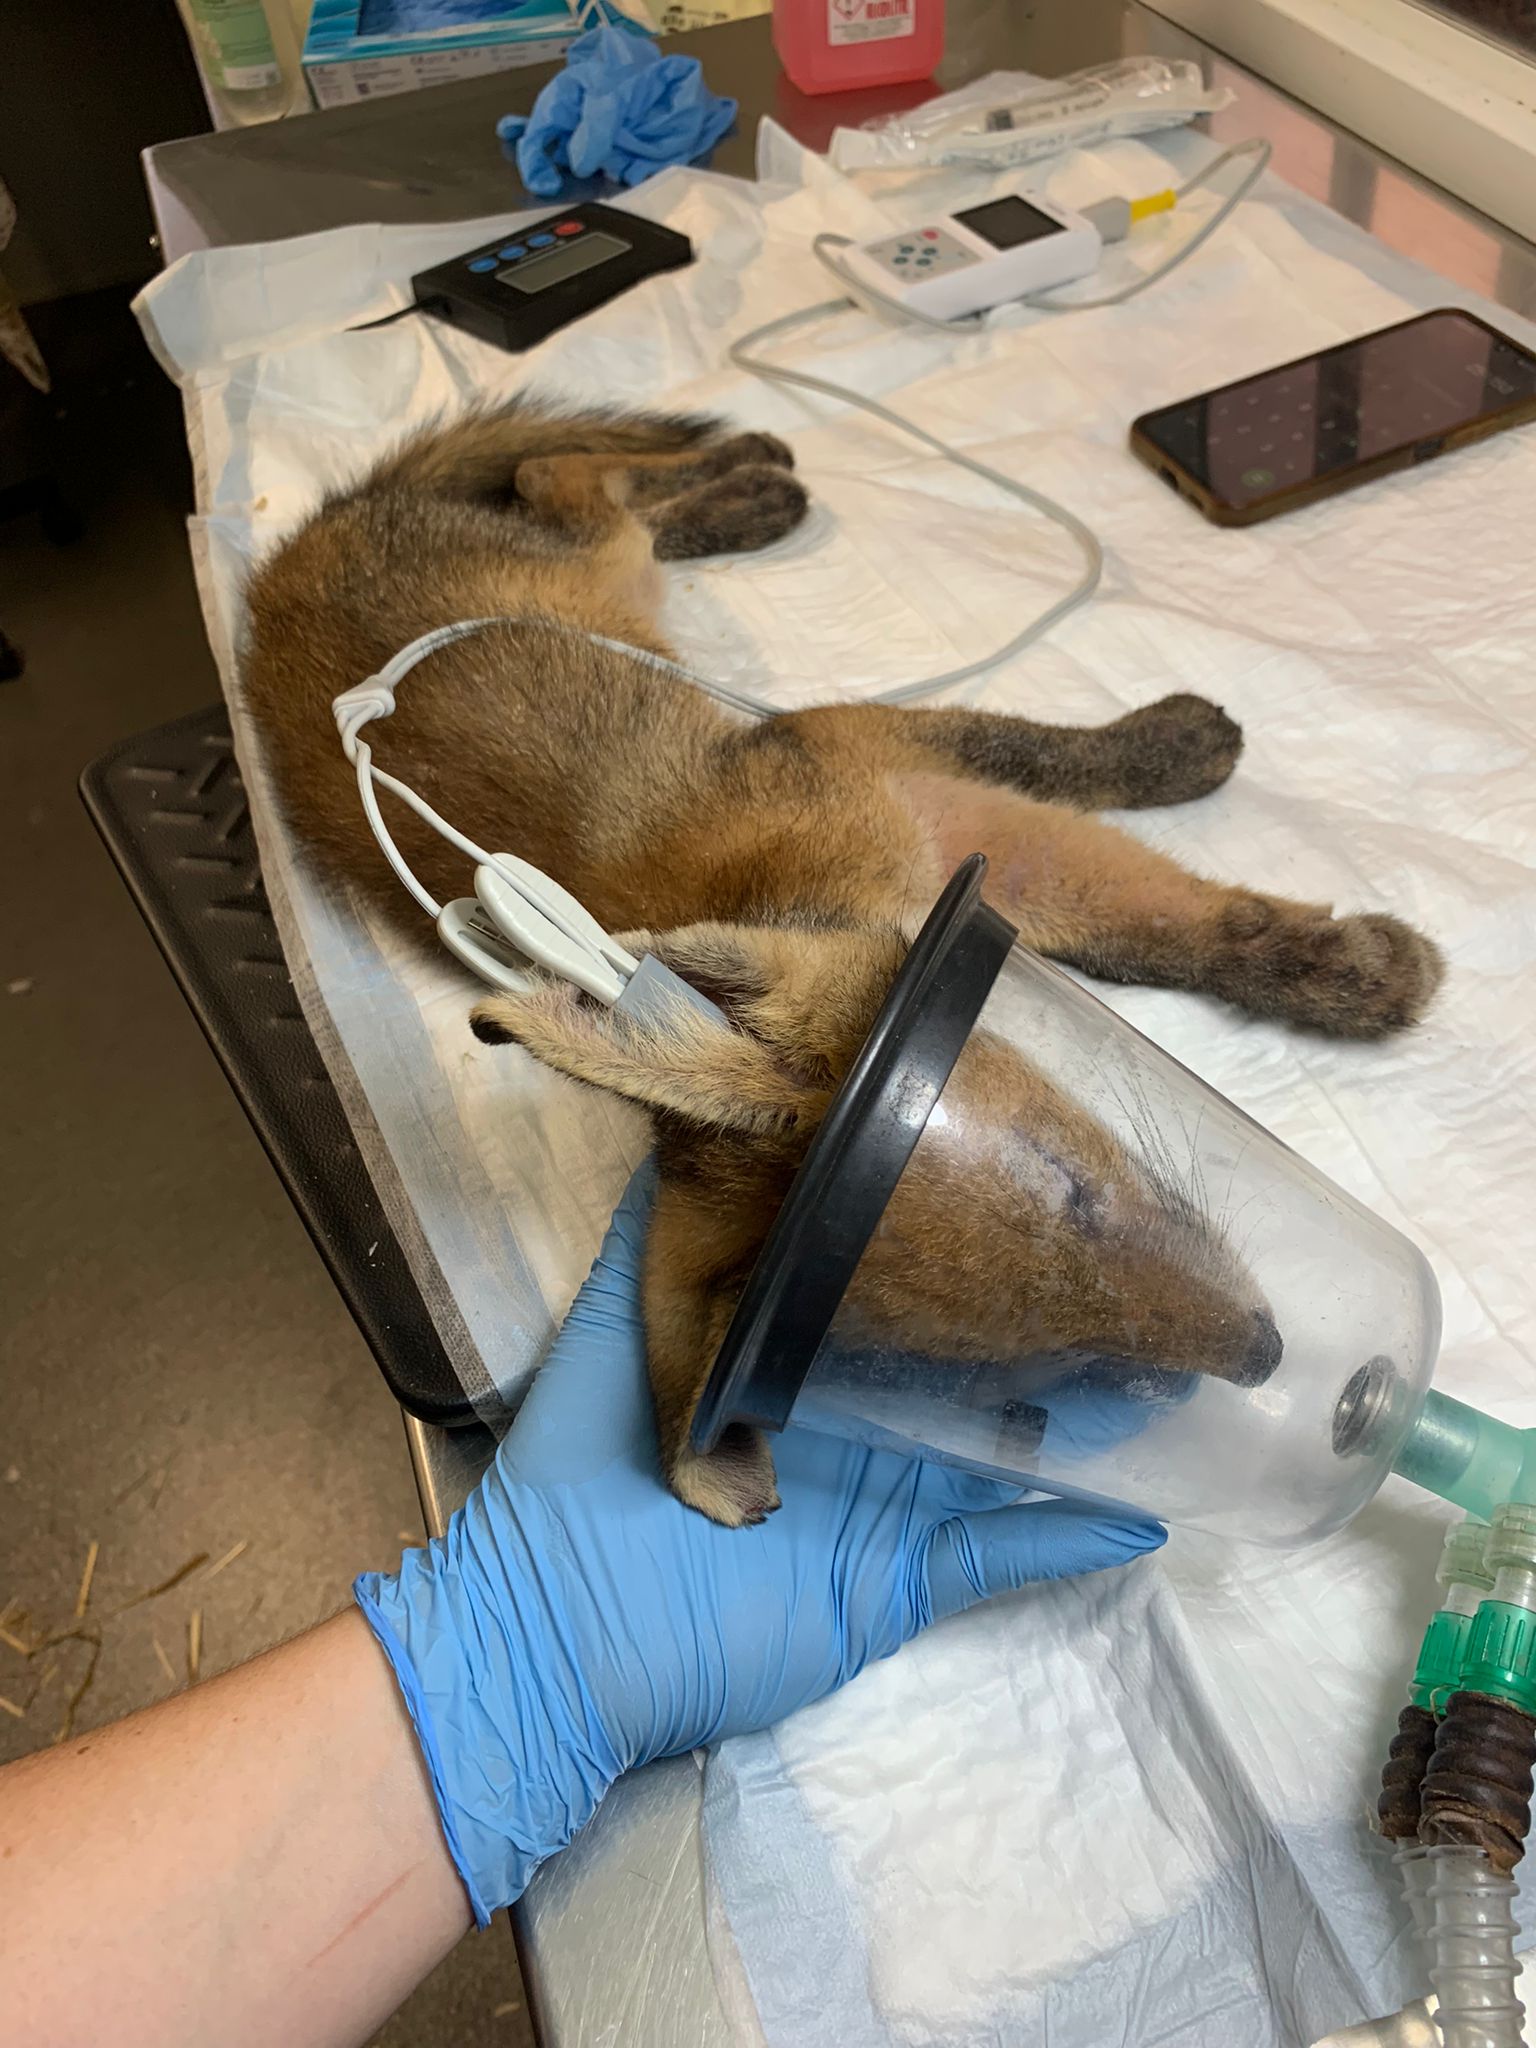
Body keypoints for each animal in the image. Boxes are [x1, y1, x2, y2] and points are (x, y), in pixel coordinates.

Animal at [243, 399, 1442, 1528]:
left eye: (1064, 1181)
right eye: (1004, 1364)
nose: (1267, 1356)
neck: (788, 889)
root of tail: (268, 586)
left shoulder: (885, 769)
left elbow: (1108, 839)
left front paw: (1248, 838)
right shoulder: (931, 819)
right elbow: (1137, 907)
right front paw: (1345, 954)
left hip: (605, 570)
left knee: (566, 474)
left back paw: (750, 481)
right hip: (603, 576)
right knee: (565, 477)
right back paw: (747, 490)